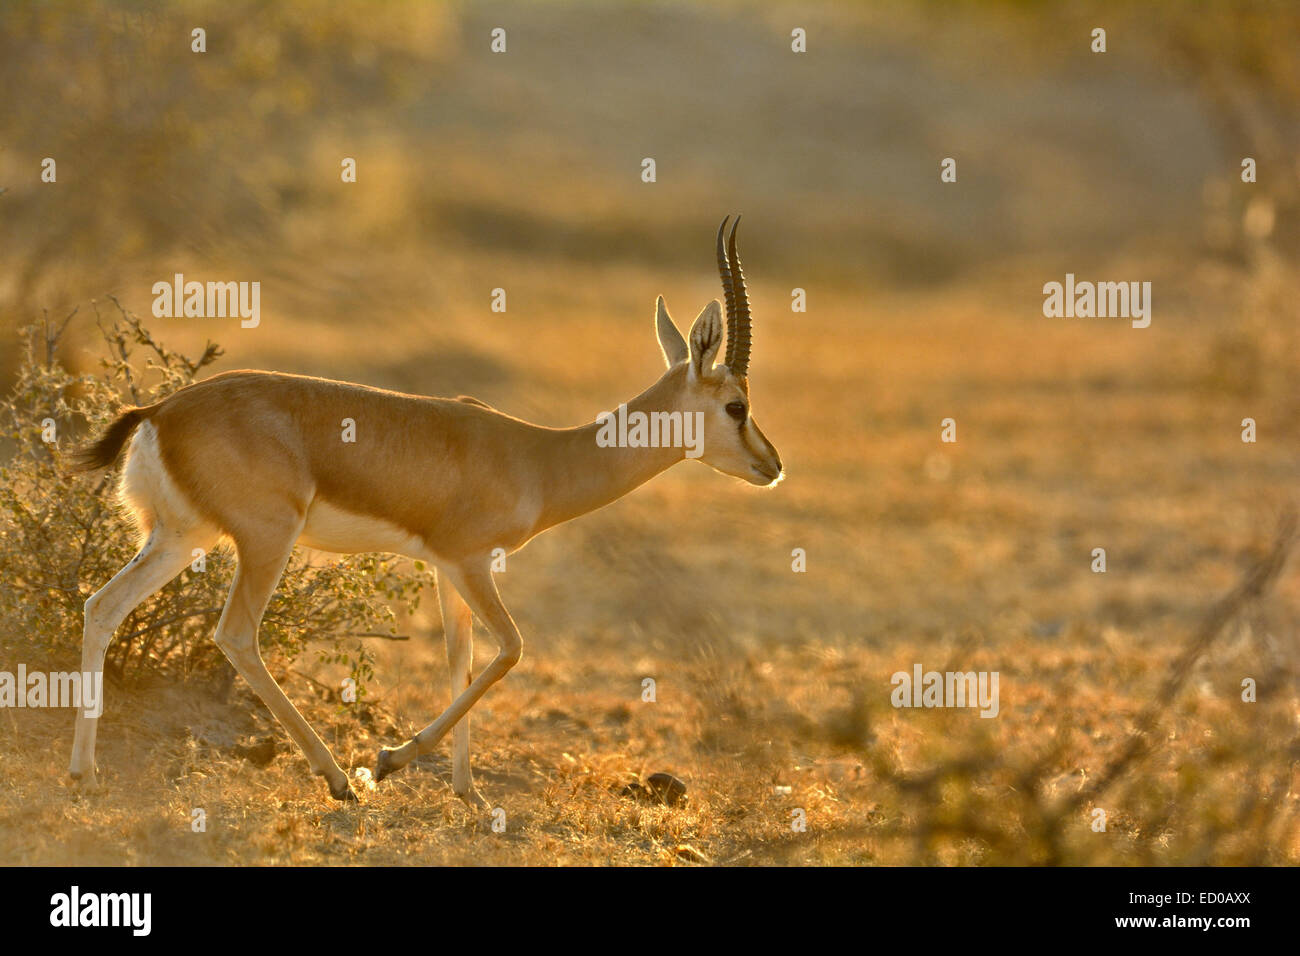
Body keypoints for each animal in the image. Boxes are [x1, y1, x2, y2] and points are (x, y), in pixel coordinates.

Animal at [69, 216, 783, 805]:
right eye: (737, 406)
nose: (772, 465)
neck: (537, 458)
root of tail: (161, 410)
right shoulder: (470, 562)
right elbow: (511, 650)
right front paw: (389, 760)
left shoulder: (446, 568)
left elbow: (459, 660)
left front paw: (469, 794)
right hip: (265, 540)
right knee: (237, 635)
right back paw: (338, 780)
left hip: (179, 537)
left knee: (101, 607)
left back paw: (85, 773)